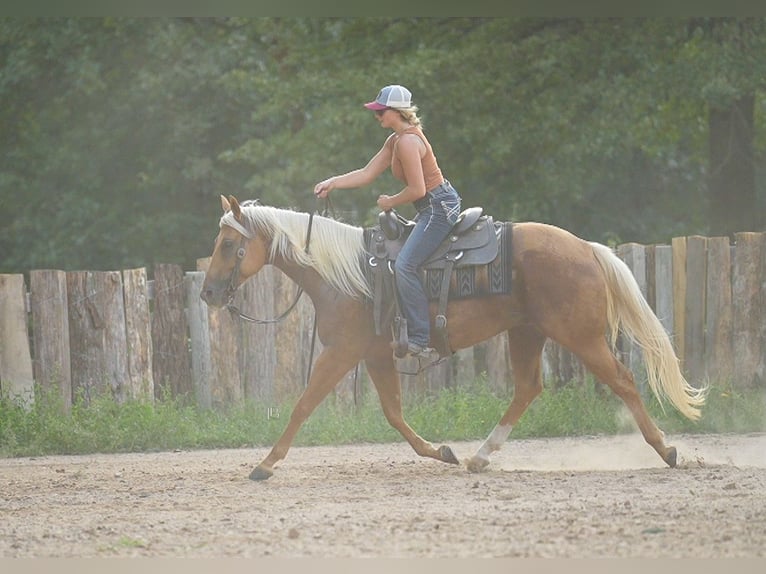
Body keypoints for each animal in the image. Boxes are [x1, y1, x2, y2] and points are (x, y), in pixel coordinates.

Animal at [201, 195, 707, 480]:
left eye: (228, 244)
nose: (208, 292)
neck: (347, 273)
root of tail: (585, 247)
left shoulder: (340, 353)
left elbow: (304, 405)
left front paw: (265, 465)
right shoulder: (375, 355)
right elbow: (394, 414)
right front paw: (440, 452)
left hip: (580, 337)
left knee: (622, 380)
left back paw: (666, 449)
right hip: (526, 333)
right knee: (527, 388)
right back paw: (479, 457)